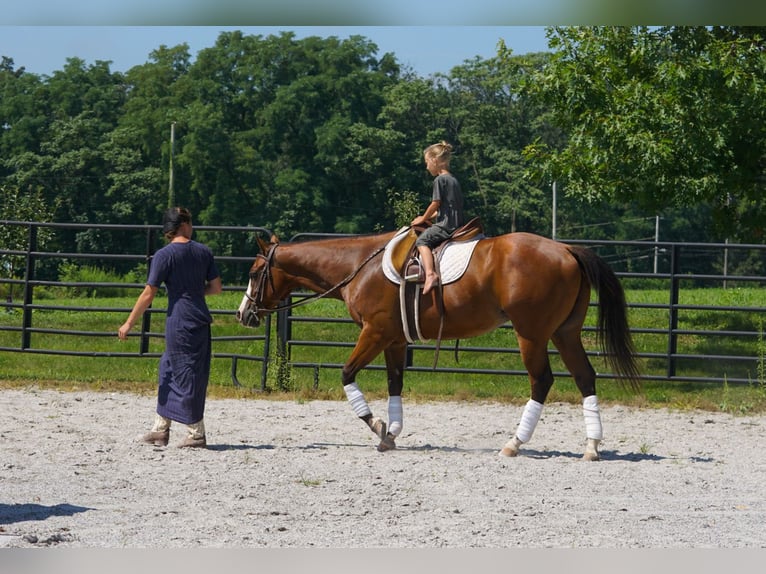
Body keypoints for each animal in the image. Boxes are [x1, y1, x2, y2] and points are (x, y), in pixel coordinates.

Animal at [236, 228, 641, 461]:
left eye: (254, 272)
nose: (243, 313)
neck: (359, 266)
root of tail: (566, 250)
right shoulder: (394, 340)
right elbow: (395, 384)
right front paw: (391, 434)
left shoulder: (374, 333)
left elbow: (347, 375)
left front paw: (376, 425)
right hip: (564, 333)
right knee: (585, 377)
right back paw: (591, 446)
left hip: (532, 335)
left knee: (541, 381)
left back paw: (514, 443)